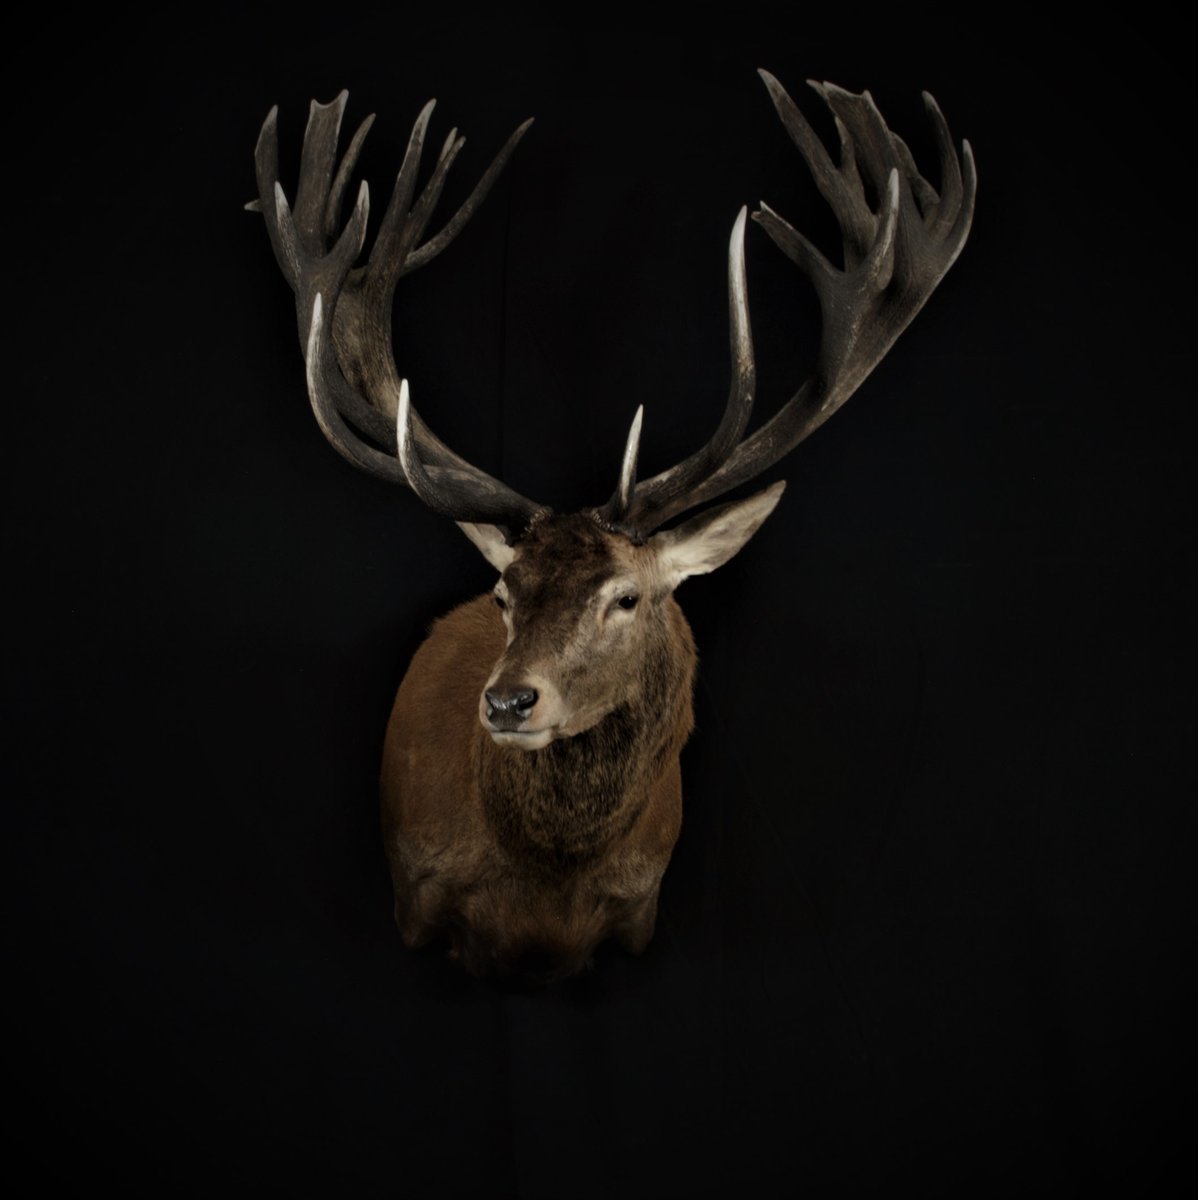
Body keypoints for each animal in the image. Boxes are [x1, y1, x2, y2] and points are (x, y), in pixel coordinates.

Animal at [249, 70, 975, 981]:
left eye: (625, 597)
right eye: (504, 593)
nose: (509, 700)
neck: (544, 891)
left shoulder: (639, 913)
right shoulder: (417, 898)